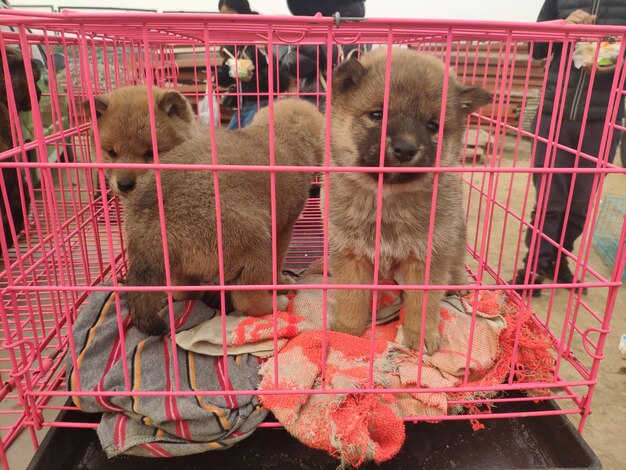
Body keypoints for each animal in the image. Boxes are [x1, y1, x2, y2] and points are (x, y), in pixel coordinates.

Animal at [116, 98, 322, 334]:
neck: (280, 134)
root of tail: (151, 227)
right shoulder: (283, 229)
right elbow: (278, 264)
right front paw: (281, 281)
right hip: (255, 242)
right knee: (247, 299)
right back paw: (276, 304)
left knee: (184, 292)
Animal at [324, 49, 490, 354]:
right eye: (377, 115)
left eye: (432, 125)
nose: (405, 148)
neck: (387, 199)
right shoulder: (350, 254)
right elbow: (352, 297)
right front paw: (348, 330)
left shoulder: (427, 257)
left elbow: (422, 303)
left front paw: (420, 335)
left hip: (455, 233)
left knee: (457, 262)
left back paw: (459, 284)